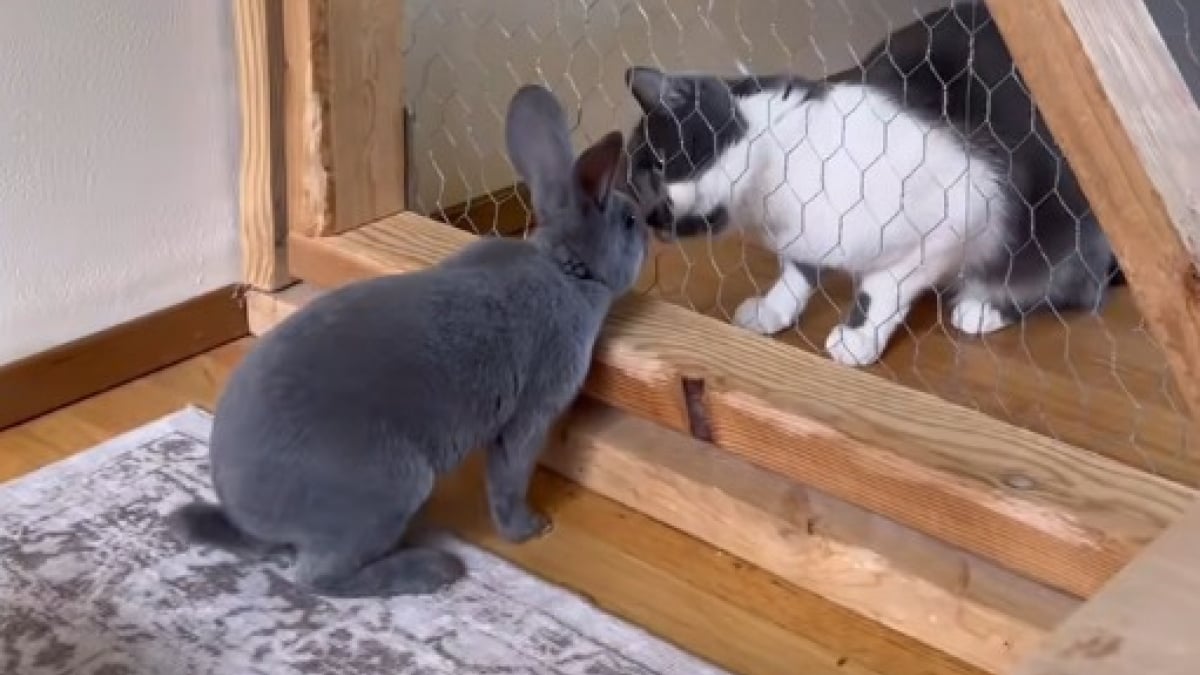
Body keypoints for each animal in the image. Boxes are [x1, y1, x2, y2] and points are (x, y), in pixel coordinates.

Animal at [166, 84, 649, 598]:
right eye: (629, 221)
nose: (650, 226)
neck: (566, 267)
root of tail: (246, 514)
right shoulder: (530, 416)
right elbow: (510, 478)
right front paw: (530, 529)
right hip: (394, 483)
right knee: (320, 577)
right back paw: (436, 569)